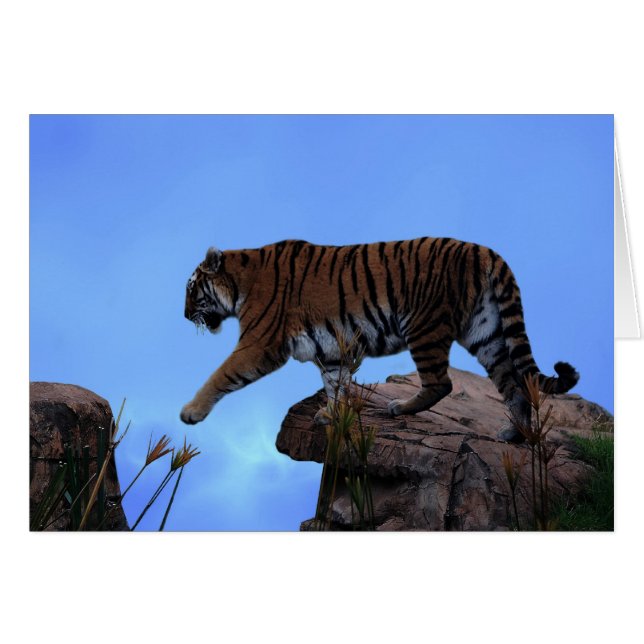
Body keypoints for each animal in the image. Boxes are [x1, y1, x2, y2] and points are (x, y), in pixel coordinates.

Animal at [180, 238, 579, 442]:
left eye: (190, 288)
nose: (184, 316)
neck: (239, 282)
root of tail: (485, 250)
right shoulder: (333, 350)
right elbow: (335, 383)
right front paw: (330, 414)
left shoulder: (258, 343)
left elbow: (220, 375)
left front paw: (190, 413)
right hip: (486, 333)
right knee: (514, 382)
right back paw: (515, 433)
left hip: (423, 325)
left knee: (442, 383)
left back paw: (400, 407)